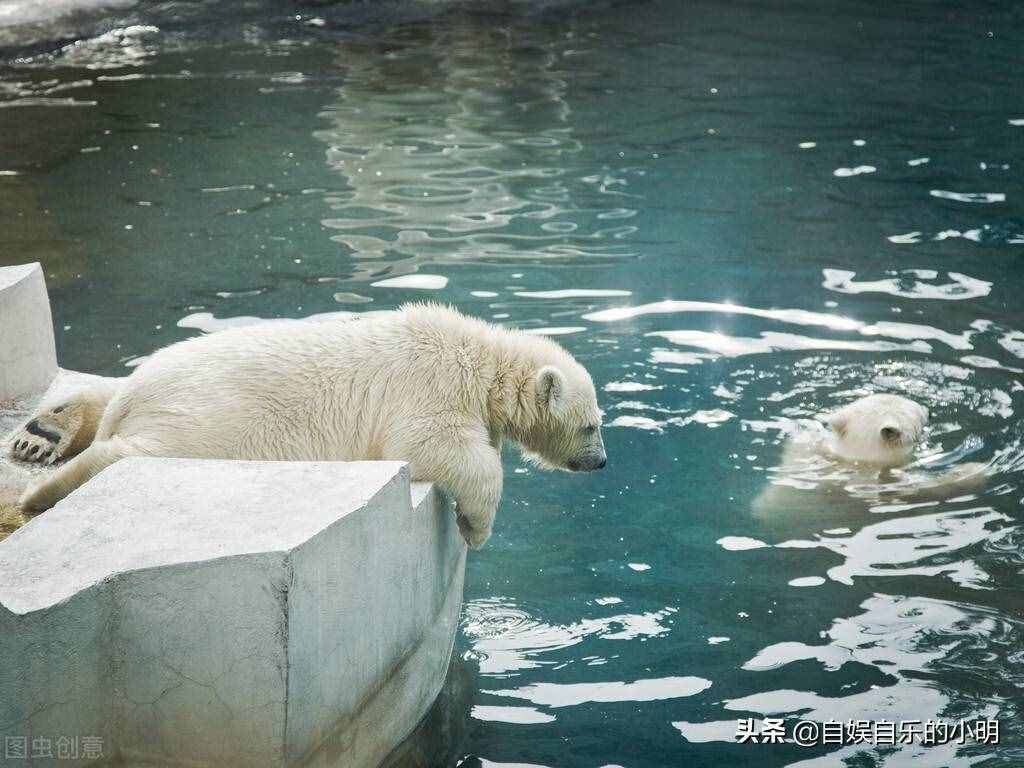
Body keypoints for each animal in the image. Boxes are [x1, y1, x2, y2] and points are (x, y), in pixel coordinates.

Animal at [9, 303, 606, 548]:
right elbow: (438, 448)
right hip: (213, 419)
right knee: (135, 452)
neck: (479, 361)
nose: (602, 462)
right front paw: (474, 527)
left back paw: (49, 429)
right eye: (591, 426)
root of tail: (137, 395)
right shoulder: (429, 389)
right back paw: (42, 491)